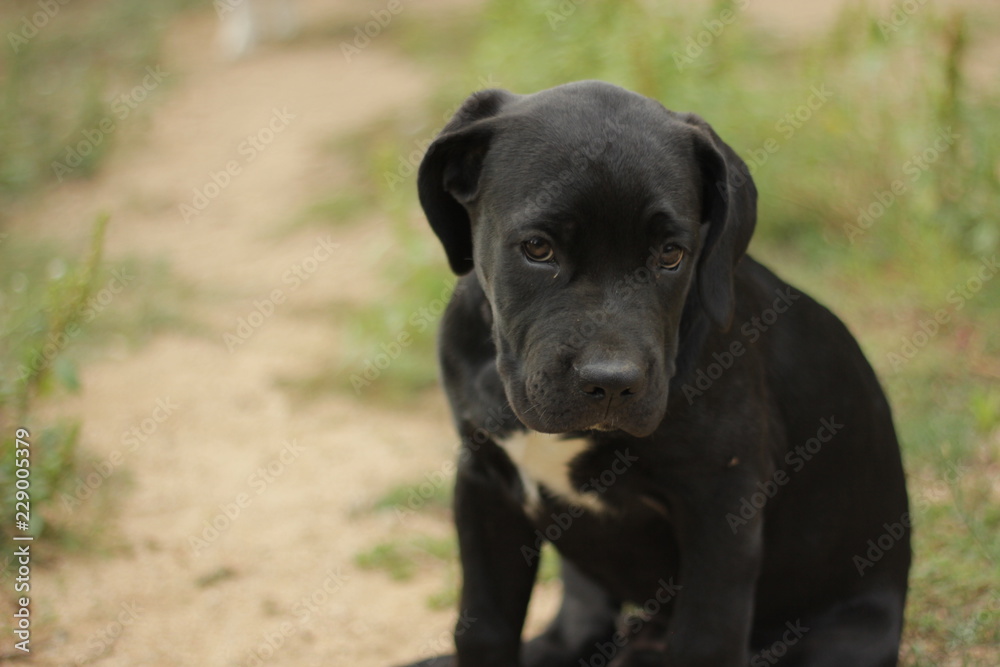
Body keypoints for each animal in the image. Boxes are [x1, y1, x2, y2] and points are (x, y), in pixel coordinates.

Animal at [402, 81, 912, 664]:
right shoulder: (483, 480)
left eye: (671, 254)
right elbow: (482, 625)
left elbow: (706, 638)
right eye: (537, 248)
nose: (612, 383)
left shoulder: (721, 508)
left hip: (845, 637)